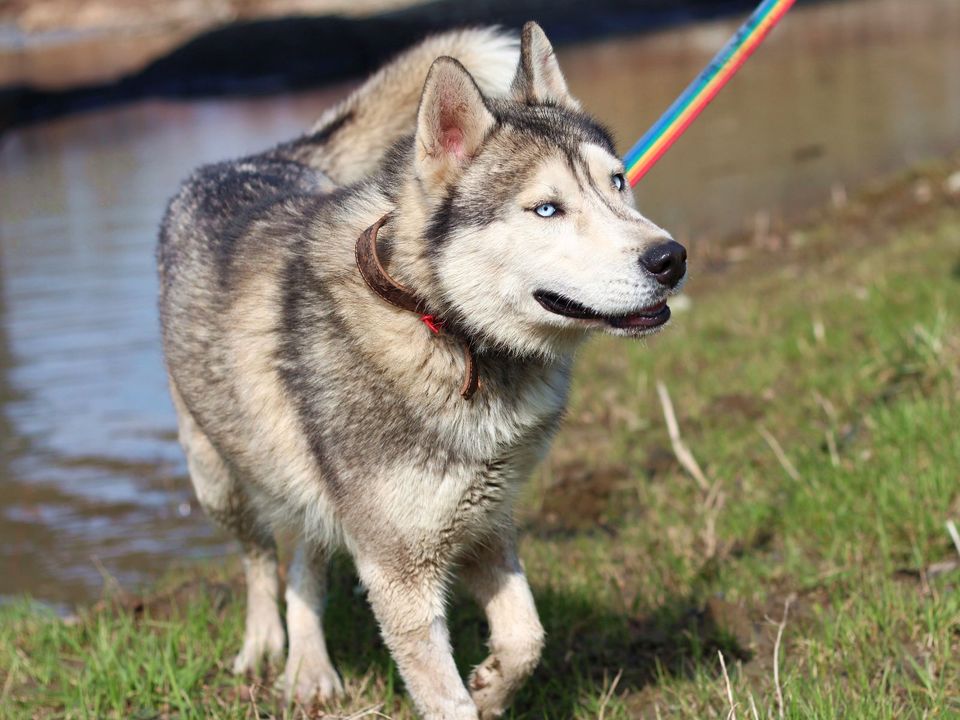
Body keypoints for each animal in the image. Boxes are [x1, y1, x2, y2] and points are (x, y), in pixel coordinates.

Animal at [158, 22, 684, 720]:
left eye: (618, 183)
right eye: (547, 209)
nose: (671, 258)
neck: (447, 331)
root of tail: (249, 159)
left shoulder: (486, 523)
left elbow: (526, 636)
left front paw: (491, 685)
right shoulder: (399, 570)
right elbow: (445, 695)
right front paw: (474, 696)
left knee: (305, 559)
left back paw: (309, 667)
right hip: (219, 478)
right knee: (260, 559)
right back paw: (268, 644)